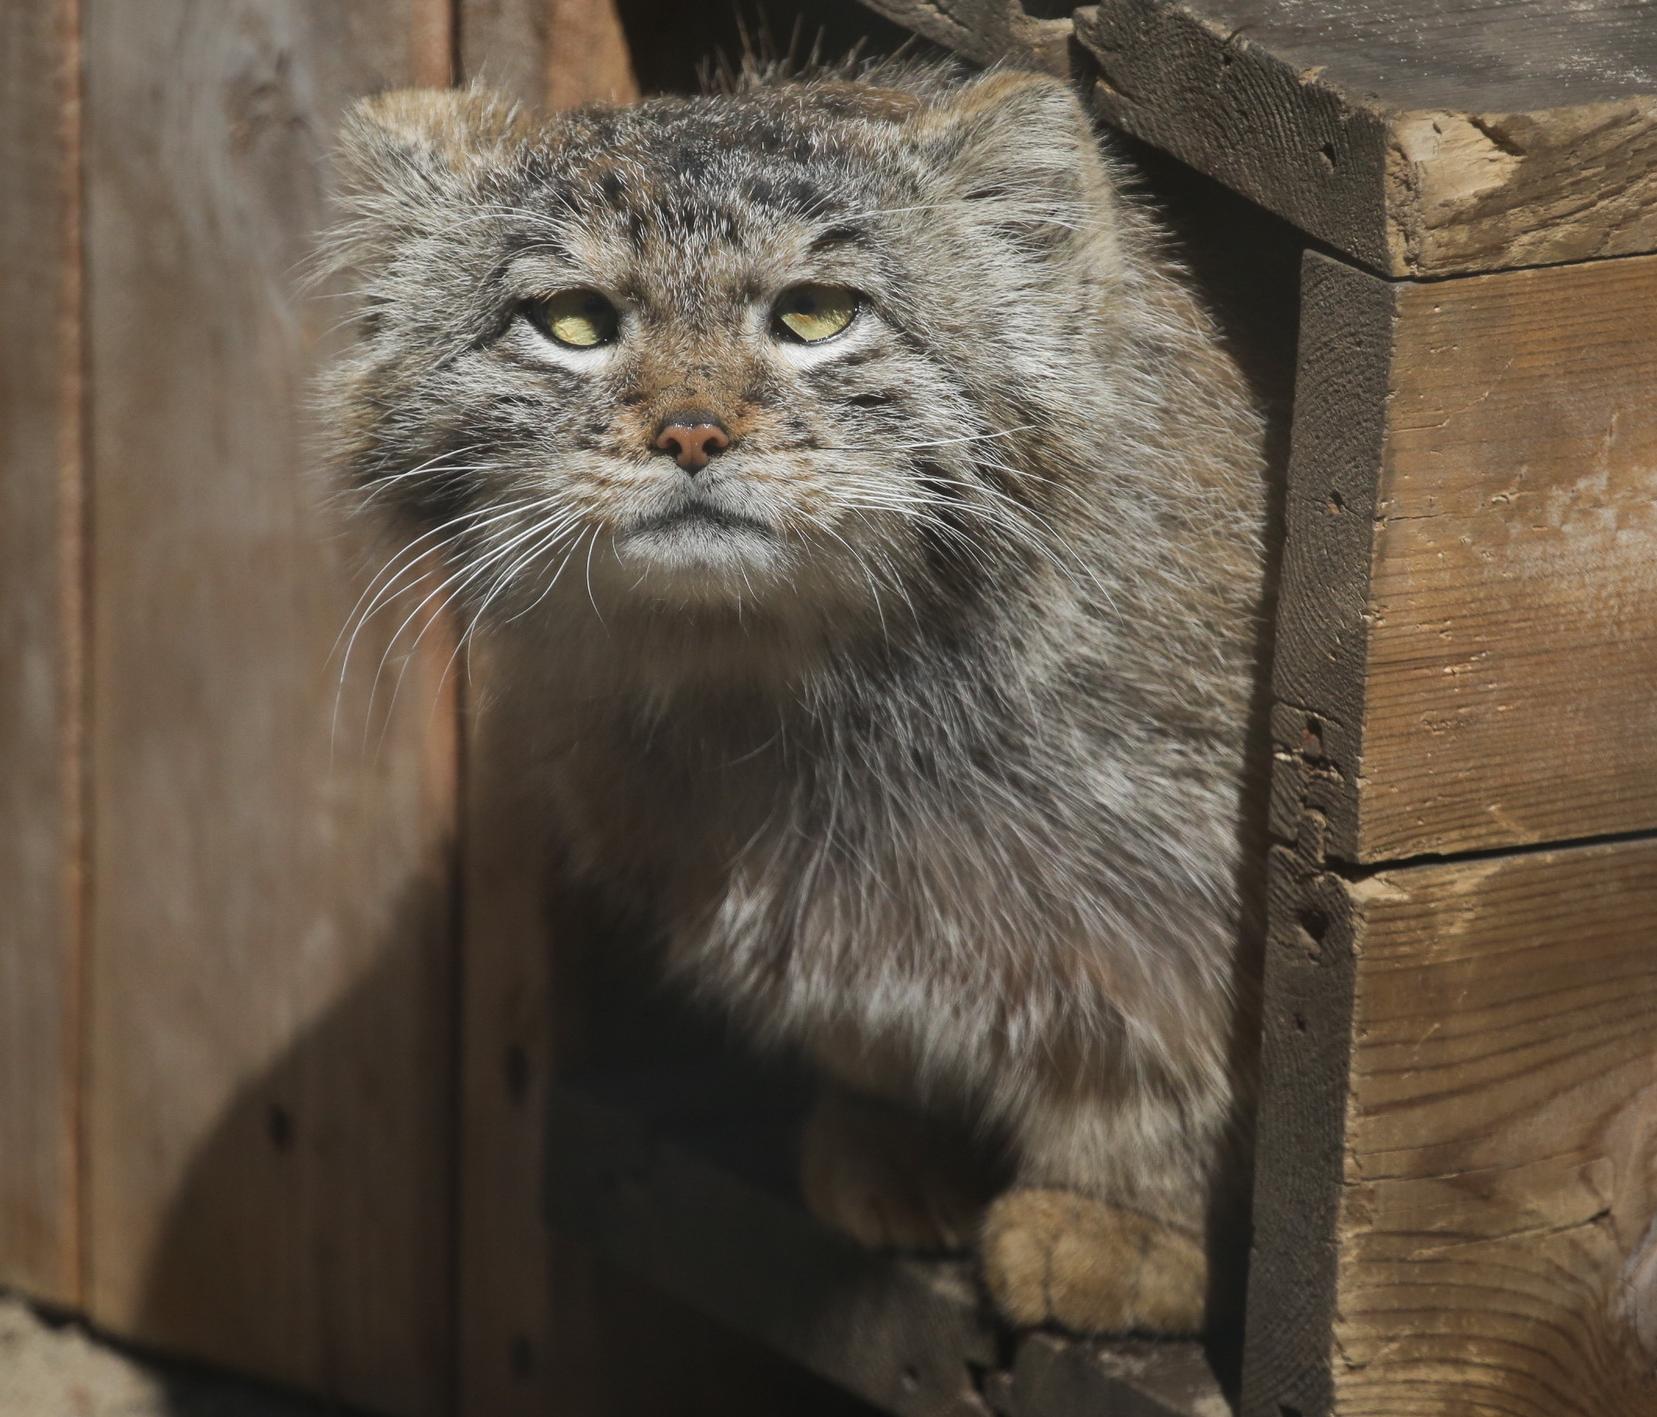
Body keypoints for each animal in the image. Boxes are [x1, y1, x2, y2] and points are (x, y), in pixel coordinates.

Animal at [323, 63, 1265, 1332]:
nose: (690, 433)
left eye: (815, 314)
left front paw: (1119, 1218)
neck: (805, 696)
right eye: (572, 322)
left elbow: (1172, 1054)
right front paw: (883, 1131)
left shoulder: (1186, 906)